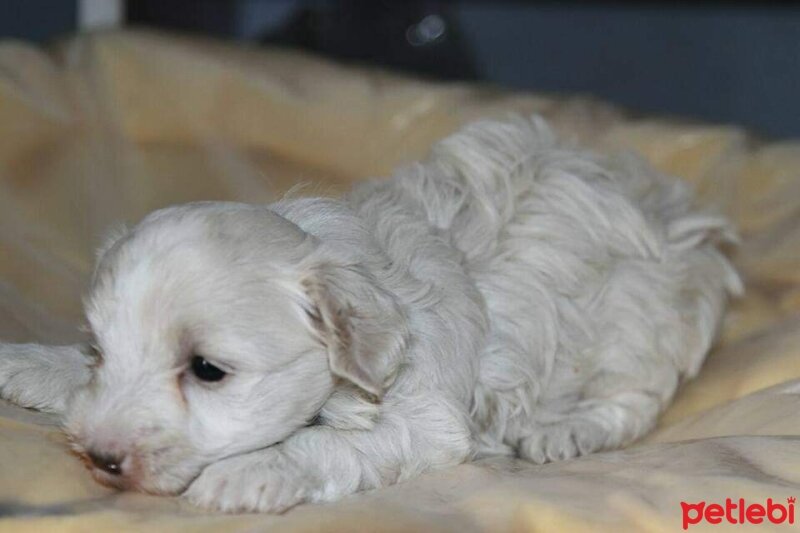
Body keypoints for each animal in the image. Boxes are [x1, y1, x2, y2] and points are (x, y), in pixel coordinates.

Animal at [0, 117, 736, 512]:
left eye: (207, 370)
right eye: (100, 351)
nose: (99, 457)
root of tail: (673, 215)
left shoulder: (425, 419)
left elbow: (325, 443)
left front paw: (248, 470)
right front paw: (30, 363)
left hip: (635, 324)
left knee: (633, 396)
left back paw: (566, 431)